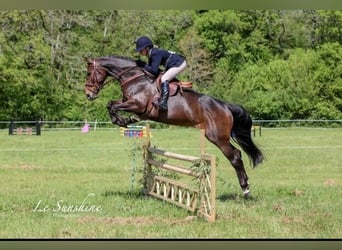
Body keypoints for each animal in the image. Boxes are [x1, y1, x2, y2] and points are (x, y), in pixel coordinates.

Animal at [83, 55, 264, 197]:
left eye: (89, 73)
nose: (88, 94)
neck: (134, 78)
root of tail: (225, 106)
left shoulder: (137, 105)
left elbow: (112, 106)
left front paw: (123, 121)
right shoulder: (128, 102)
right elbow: (111, 104)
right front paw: (125, 120)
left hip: (217, 137)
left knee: (235, 157)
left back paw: (246, 189)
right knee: (237, 154)